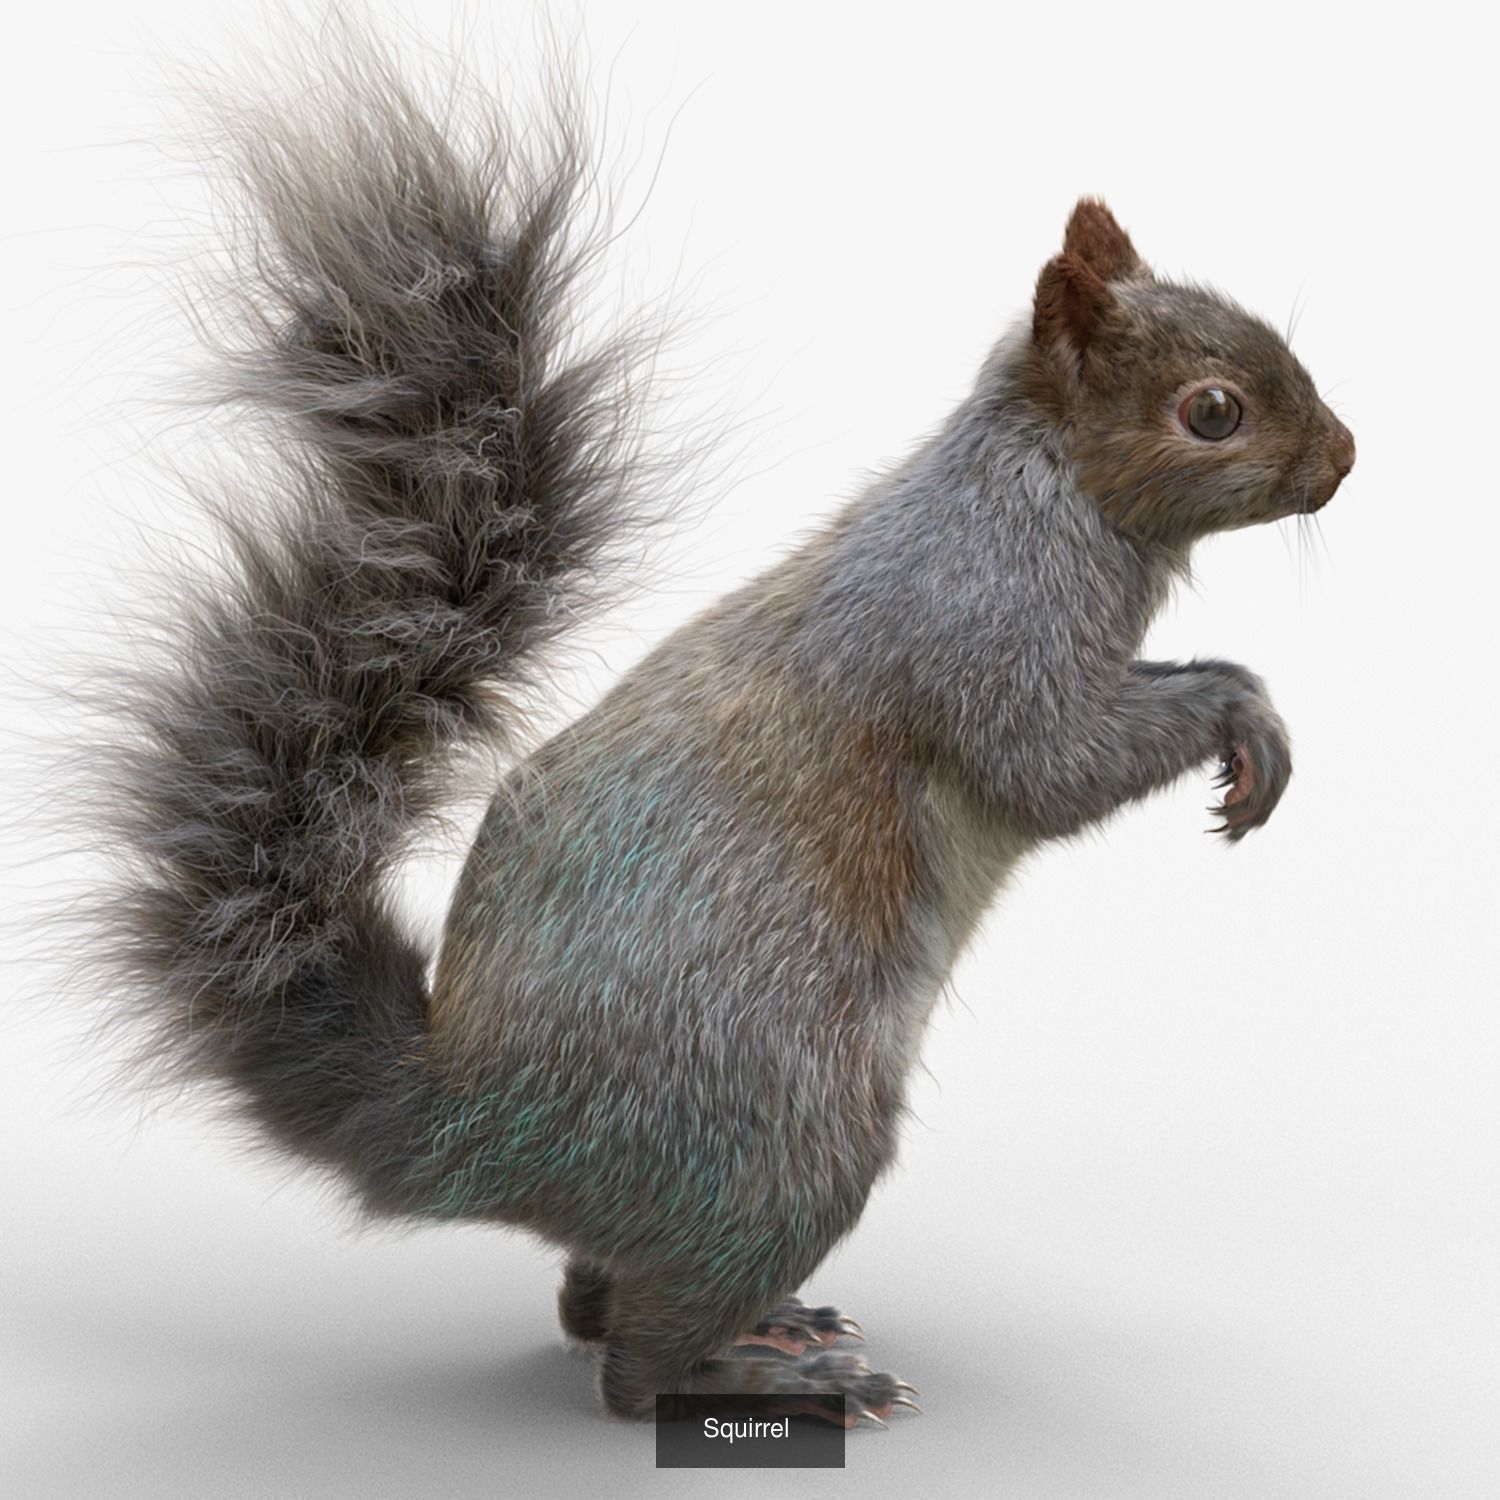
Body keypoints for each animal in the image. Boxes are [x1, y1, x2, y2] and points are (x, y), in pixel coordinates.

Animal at [87, 34, 1354, 1428]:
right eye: (1213, 410)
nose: (1346, 458)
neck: (1042, 488)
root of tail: (473, 1129)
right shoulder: (984, 631)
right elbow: (1051, 765)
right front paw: (1240, 712)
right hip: (791, 1142)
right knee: (631, 1372)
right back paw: (776, 1377)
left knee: (591, 1298)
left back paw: (768, 1324)